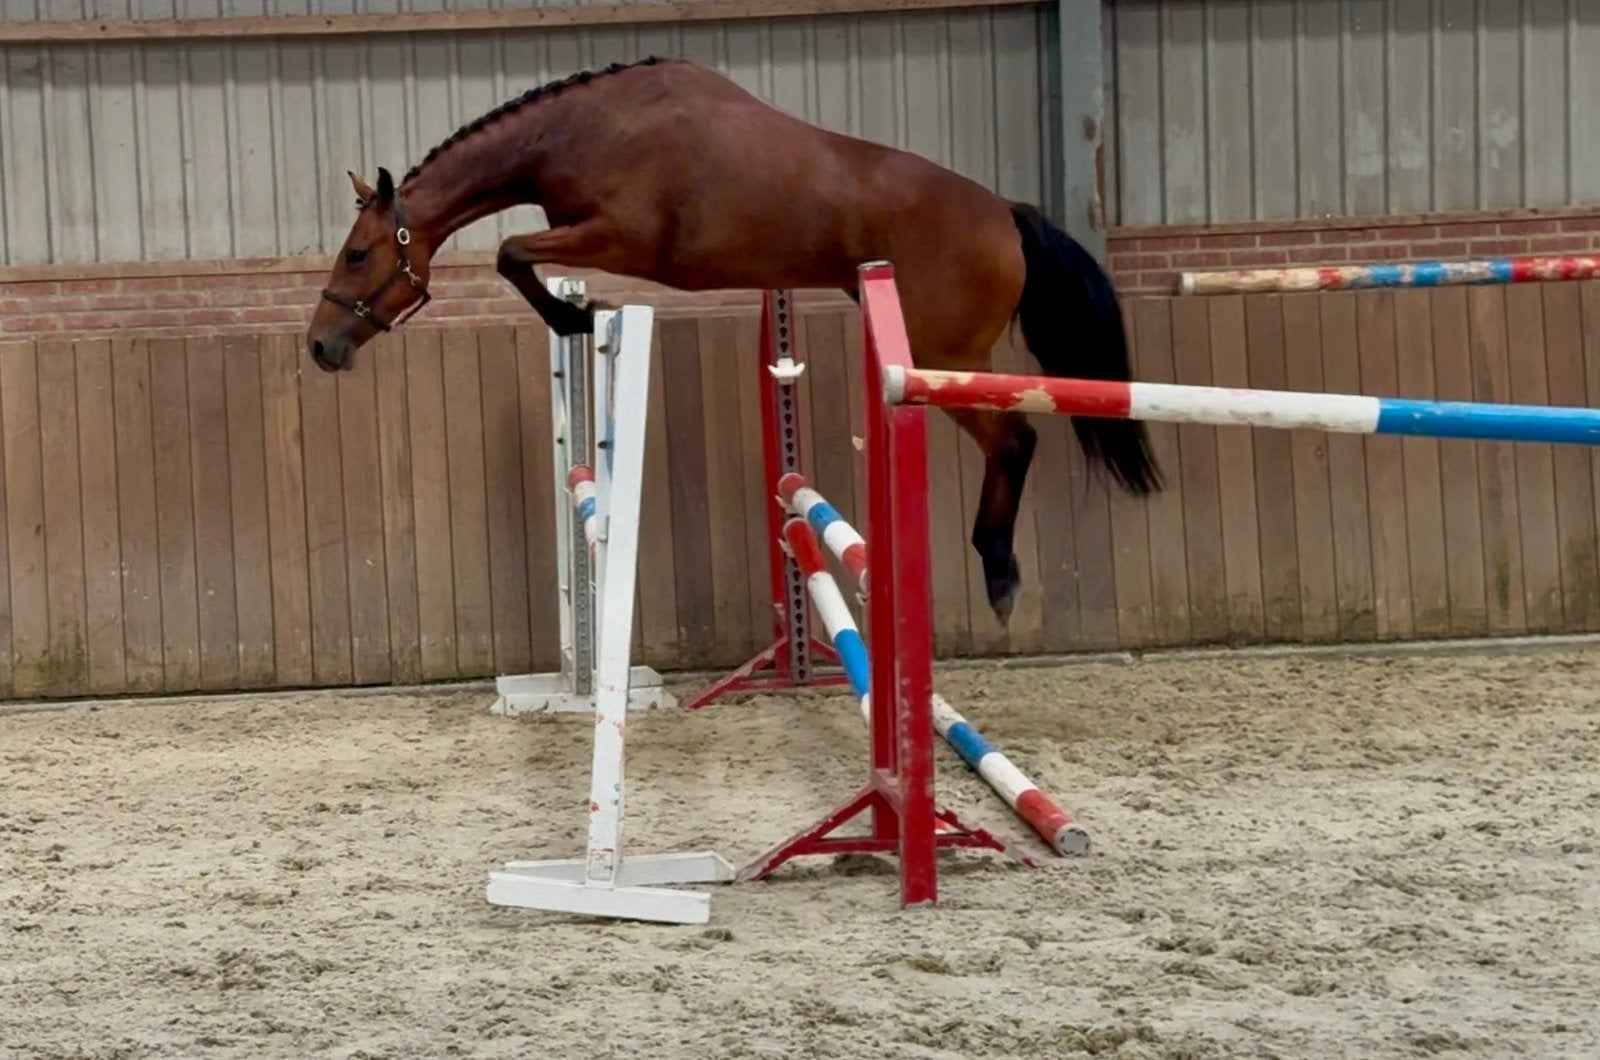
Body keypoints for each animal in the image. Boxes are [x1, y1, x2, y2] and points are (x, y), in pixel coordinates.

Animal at [305, 56, 1162, 623]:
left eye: (358, 254)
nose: (318, 347)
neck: (584, 129)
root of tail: (1006, 216)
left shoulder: (621, 238)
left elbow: (511, 253)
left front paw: (576, 317)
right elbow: (514, 254)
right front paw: (578, 316)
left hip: (939, 361)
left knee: (1015, 439)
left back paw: (1000, 572)